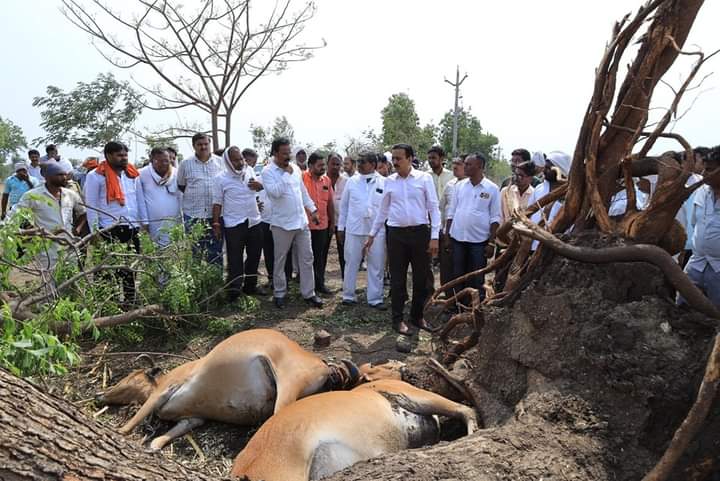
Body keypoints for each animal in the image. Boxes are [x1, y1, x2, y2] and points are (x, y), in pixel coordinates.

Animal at [97, 328, 360, 448]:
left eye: (131, 376)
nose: (101, 394)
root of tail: (327, 368)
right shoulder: (193, 419)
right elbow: (172, 431)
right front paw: (155, 444)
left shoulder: (165, 389)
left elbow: (132, 422)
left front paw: (119, 432)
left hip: (289, 385)